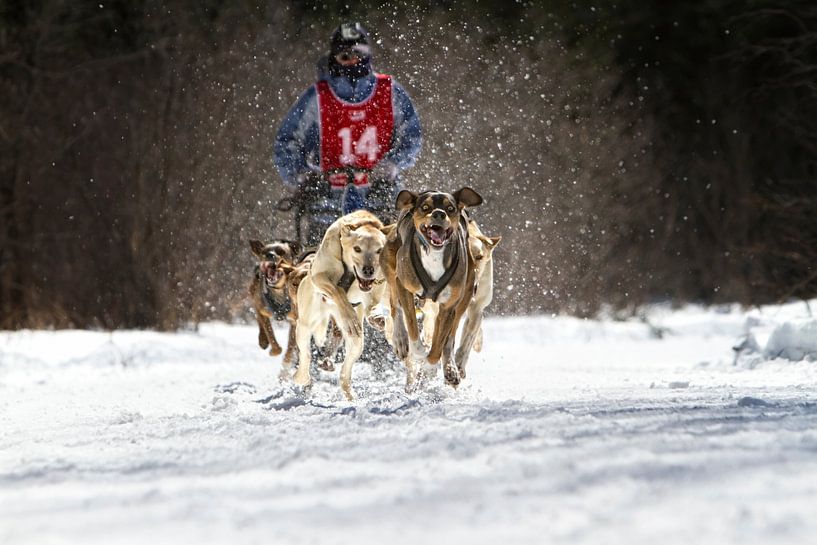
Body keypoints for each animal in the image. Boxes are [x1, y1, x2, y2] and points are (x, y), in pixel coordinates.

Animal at [292, 209, 388, 400]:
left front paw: (377, 317)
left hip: (356, 343)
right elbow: (338, 291)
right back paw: (301, 377)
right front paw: (349, 315)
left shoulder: (373, 291)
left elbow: (372, 306)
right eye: (357, 249)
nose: (368, 270)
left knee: (345, 371)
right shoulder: (320, 276)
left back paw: (350, 395)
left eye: (379, 250)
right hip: (304, 325)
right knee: (305, 356)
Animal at [380, 187, 482, 386]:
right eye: (425, 207)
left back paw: (449, 367)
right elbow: (412, 326)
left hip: (465, 294)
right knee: (395, 306)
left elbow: (438, 344)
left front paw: (429, 367)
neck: (434, 256)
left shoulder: (448, 306)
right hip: (389, 265)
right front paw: (419, 353)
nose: (439, 214)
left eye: (450, 208)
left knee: (450, 338)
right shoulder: (403, 286)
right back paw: (400, 340)